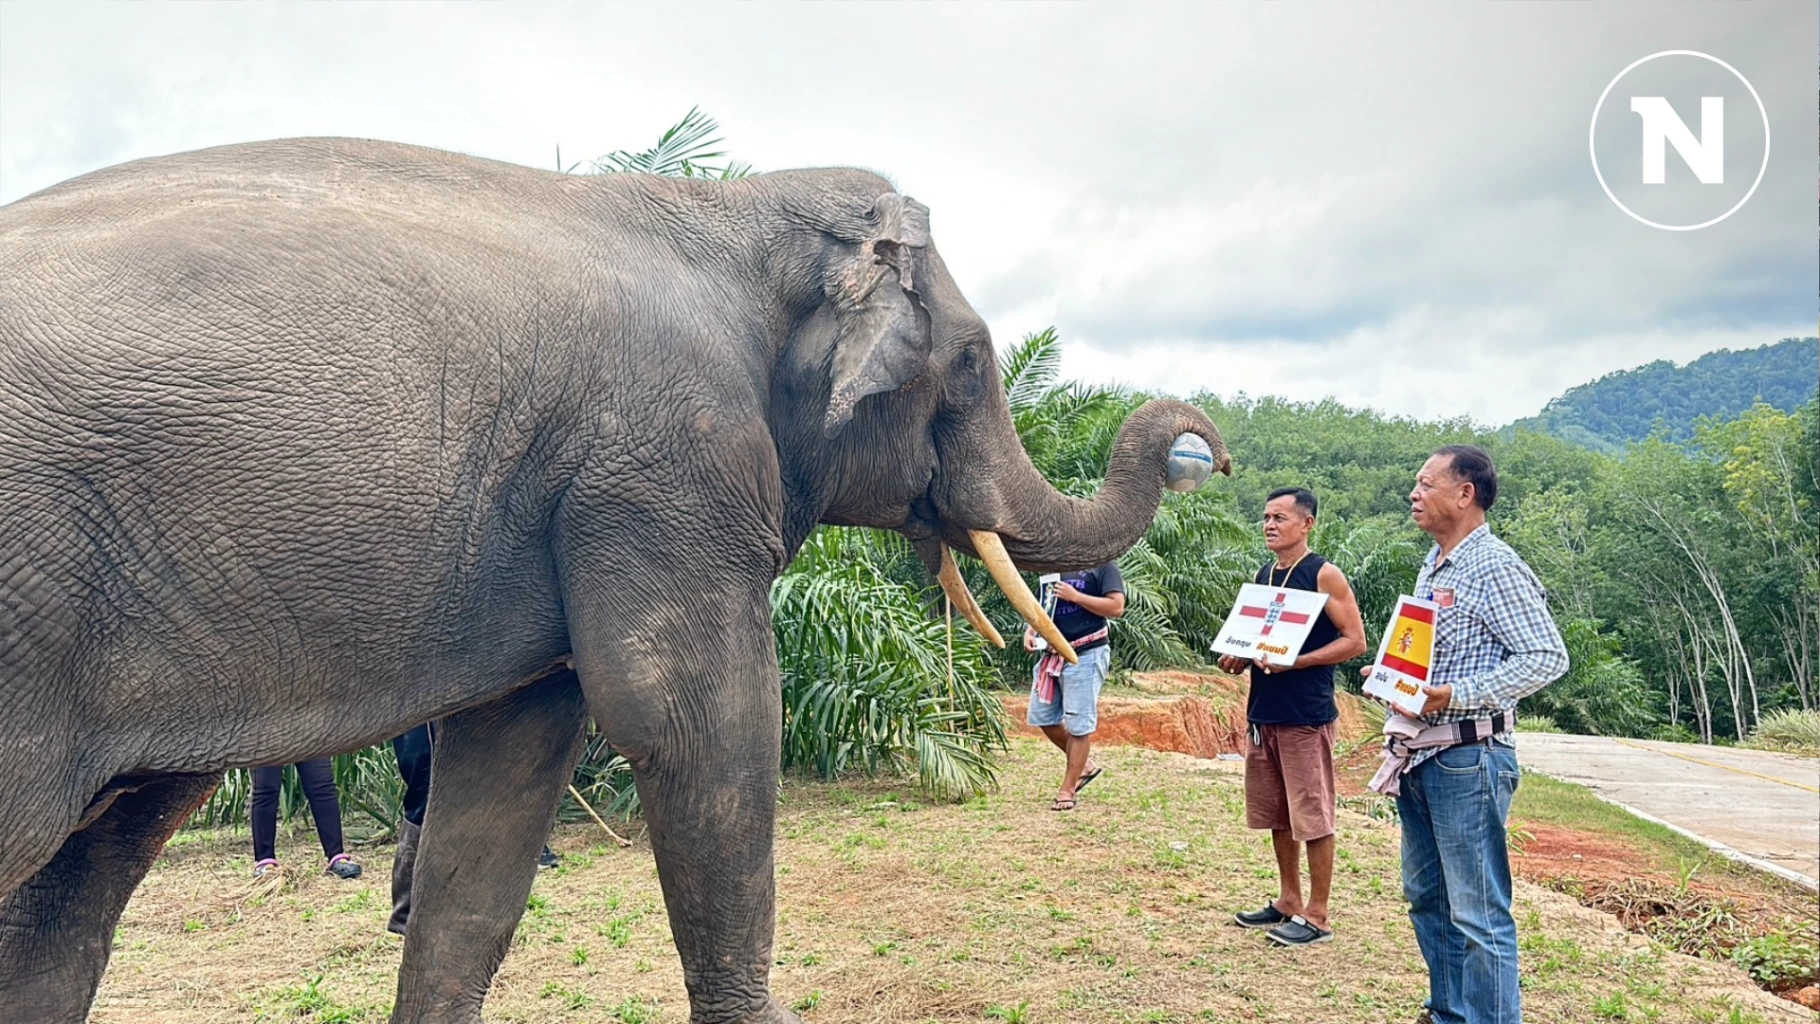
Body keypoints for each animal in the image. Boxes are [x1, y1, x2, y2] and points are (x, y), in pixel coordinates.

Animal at [0, 137, 1229, 1023]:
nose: (1203, 446)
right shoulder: (665, 468)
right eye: (971, 364)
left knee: (92, 865)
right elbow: (693, 723)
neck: (727, 215)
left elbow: (509, 778)